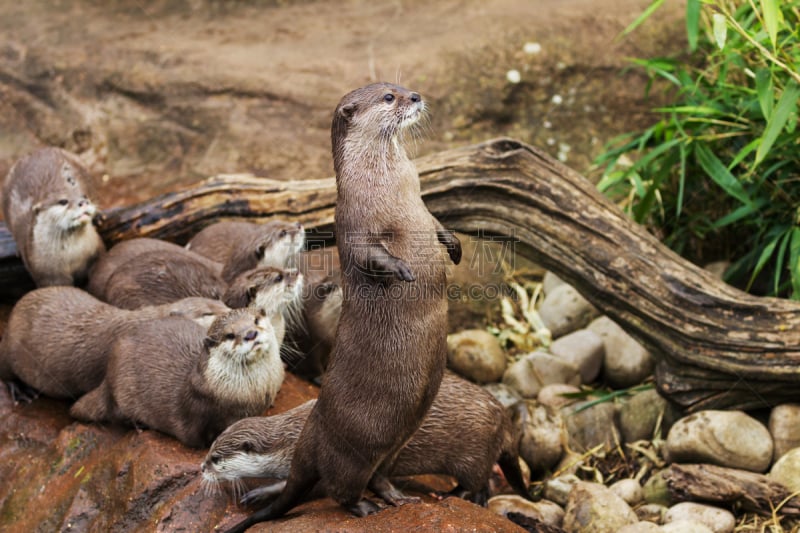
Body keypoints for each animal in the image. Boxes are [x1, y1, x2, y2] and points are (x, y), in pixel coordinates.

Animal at [0, 145, 105, 286]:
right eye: (63, 201)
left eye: (84, 196)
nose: (83, 202)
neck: (73, 256)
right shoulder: (47, 273)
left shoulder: (97, 248)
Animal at [70, 308, 286, 448]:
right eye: (230, 335)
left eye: (256, 320)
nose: (250, 333)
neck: (254, 393)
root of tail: (107, 376)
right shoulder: (204, 413)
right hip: (121, 390)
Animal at [225, 83, 462, 532]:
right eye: (388, 98)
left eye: (399, 87)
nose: (415, 97)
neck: (390, 185)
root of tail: (312, 435)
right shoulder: (353, 222)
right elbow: (371, 255)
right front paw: (402, 270)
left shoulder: (422, 207)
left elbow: (439, 225)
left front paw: (454, 246)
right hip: (354, 447)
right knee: (341, 486)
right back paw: (365, 508)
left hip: (398, 438)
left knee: (379, 473)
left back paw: (396, 497)